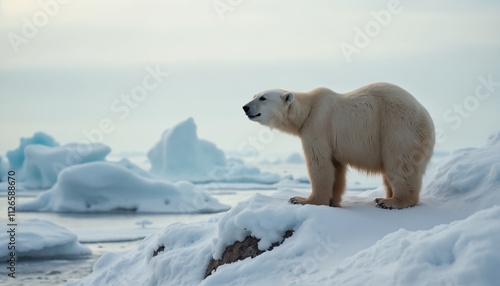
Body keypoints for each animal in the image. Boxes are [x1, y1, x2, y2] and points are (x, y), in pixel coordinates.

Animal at [242, 82, 434, 210]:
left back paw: (390, 201)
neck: (308, 110)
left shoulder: (318, 125)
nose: (245, 107)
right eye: (254, 96)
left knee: (400, 163)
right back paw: (386, 196)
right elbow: (336, 168)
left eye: (263, 98)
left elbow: (319, 163)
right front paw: (332, 201)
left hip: (397, 127)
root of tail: (428, 120)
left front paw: (302, 199)